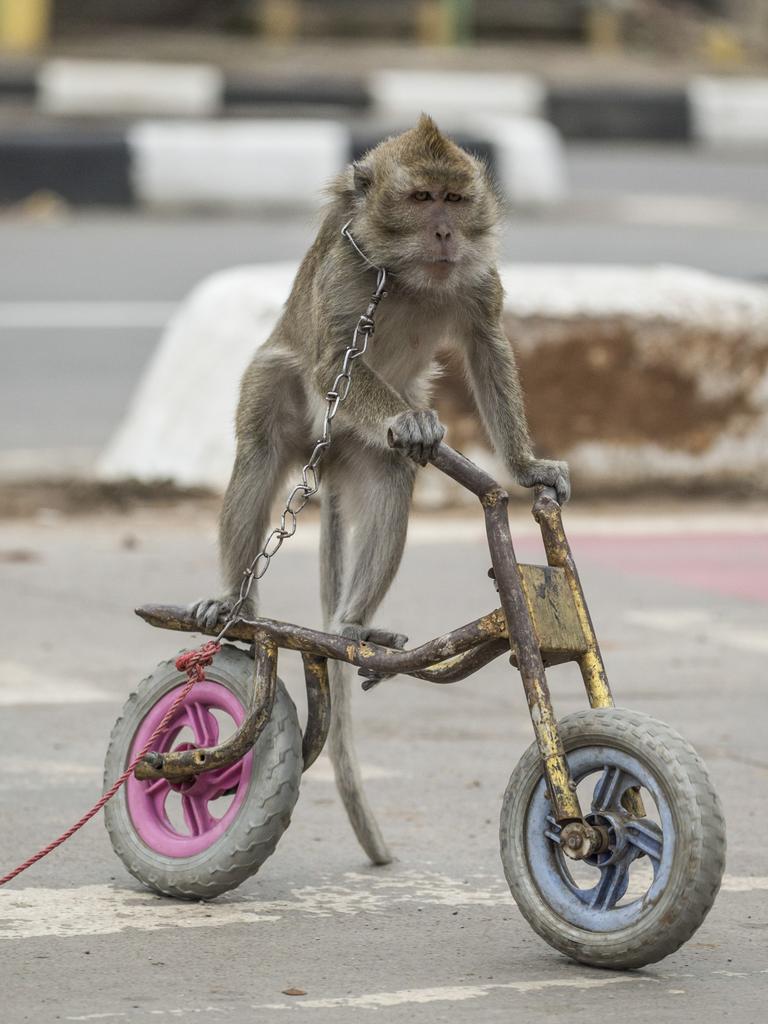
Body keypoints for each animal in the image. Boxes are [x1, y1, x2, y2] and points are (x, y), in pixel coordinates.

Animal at [188, 114, 569, 864]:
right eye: (420, 199)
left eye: (454, 199)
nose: (446, 233)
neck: (414, 274)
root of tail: (329, 456)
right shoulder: (349, 272)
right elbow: (337, 354)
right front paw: (416, 420)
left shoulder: (477, 284)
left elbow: (486, 346)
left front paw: (527, 465)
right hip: (290, 400)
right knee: (261, 453)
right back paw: (235, 601)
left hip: (361, 448)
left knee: (394, 477)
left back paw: (354, 624)